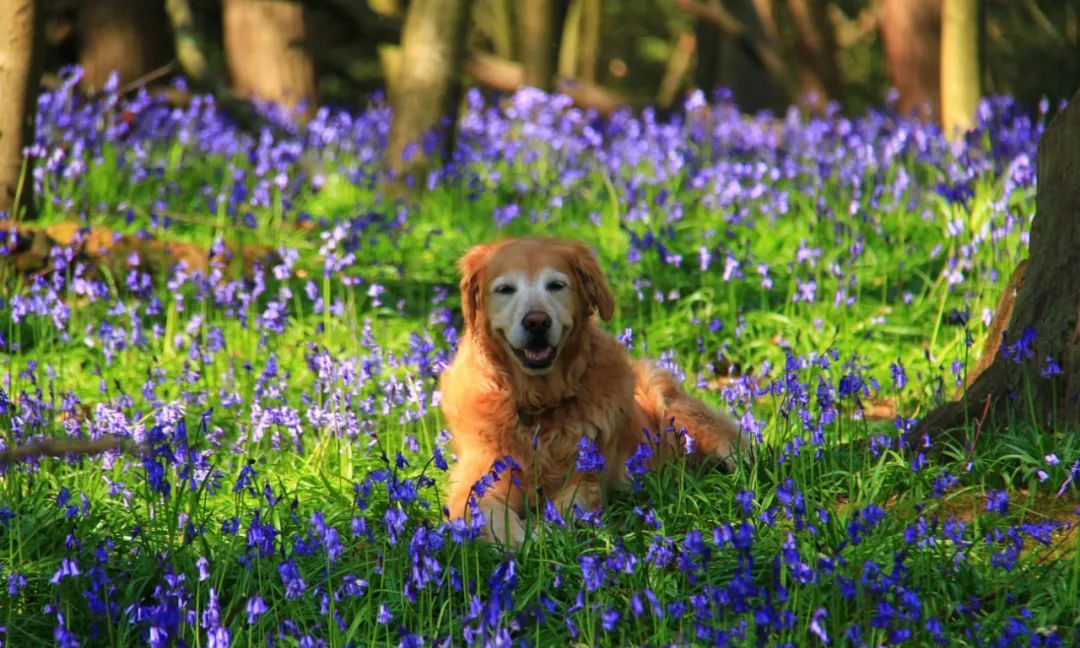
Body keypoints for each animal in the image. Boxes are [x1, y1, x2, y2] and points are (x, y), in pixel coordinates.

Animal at [436, 235, 743, 544]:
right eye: (505, 289)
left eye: (556, 285)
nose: (537, 321)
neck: (538, 407)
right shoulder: (478, 480)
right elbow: (490, 513)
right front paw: (520, 539)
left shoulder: (587, 477)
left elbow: (566, 508)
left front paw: (544, 533)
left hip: (681, 413)